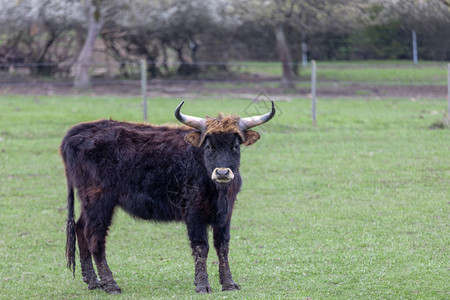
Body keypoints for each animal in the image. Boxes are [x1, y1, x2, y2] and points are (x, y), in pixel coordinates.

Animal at [61, 101, 276, 292]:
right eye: (209, 146)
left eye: (235, 146)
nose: (222, 173)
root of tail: (79, 131)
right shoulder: (194, 212)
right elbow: (201, 246)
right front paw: (202, 285)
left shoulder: (226, 213)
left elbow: (222, 246)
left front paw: (229, 283)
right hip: (99, 200)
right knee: (95, 237)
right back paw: (110, 284)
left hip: (88, 202)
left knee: (80, 228)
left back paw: (93, 282)